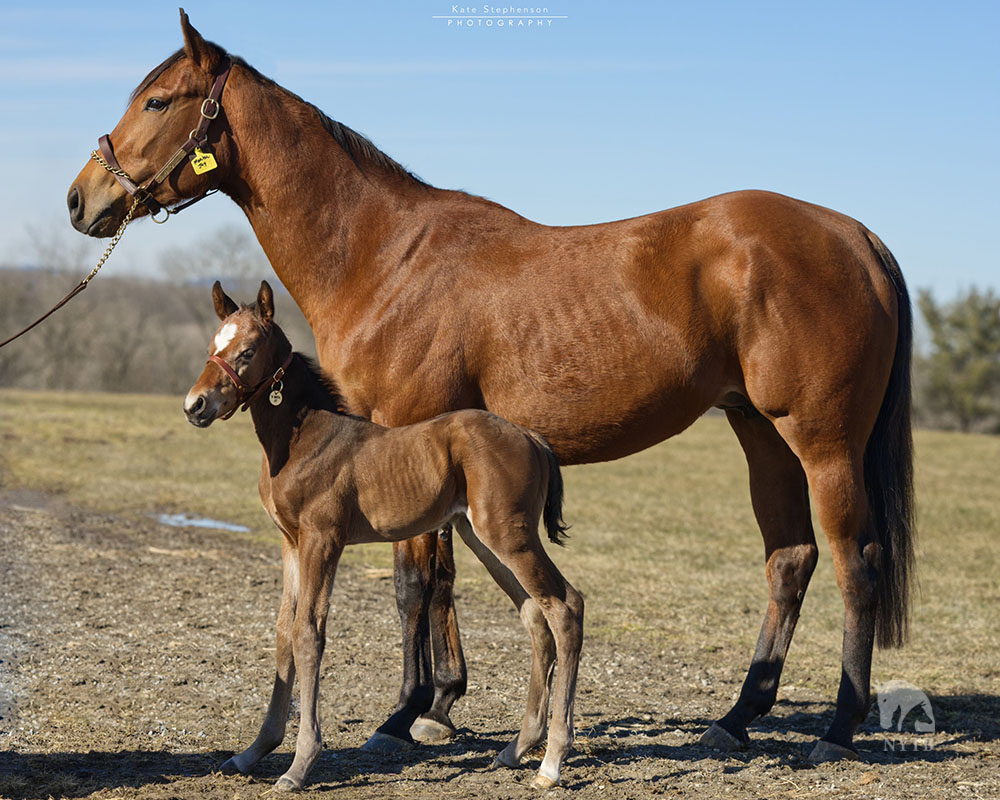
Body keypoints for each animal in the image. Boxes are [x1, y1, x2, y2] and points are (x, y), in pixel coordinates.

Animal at [183, 280, 584, 790]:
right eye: (212, 348)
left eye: (247, 351)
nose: (195, 406)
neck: (304, 439)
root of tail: (531, 437)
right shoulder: (290, 542)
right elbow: (282, 634)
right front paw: (253, 752)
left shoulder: (322, 540)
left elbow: (308, 634)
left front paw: (300, 764)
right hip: (484, 537)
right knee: (535, 614)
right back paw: (516, 749)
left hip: (508, 535)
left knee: (565, 606)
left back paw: (551, 763)